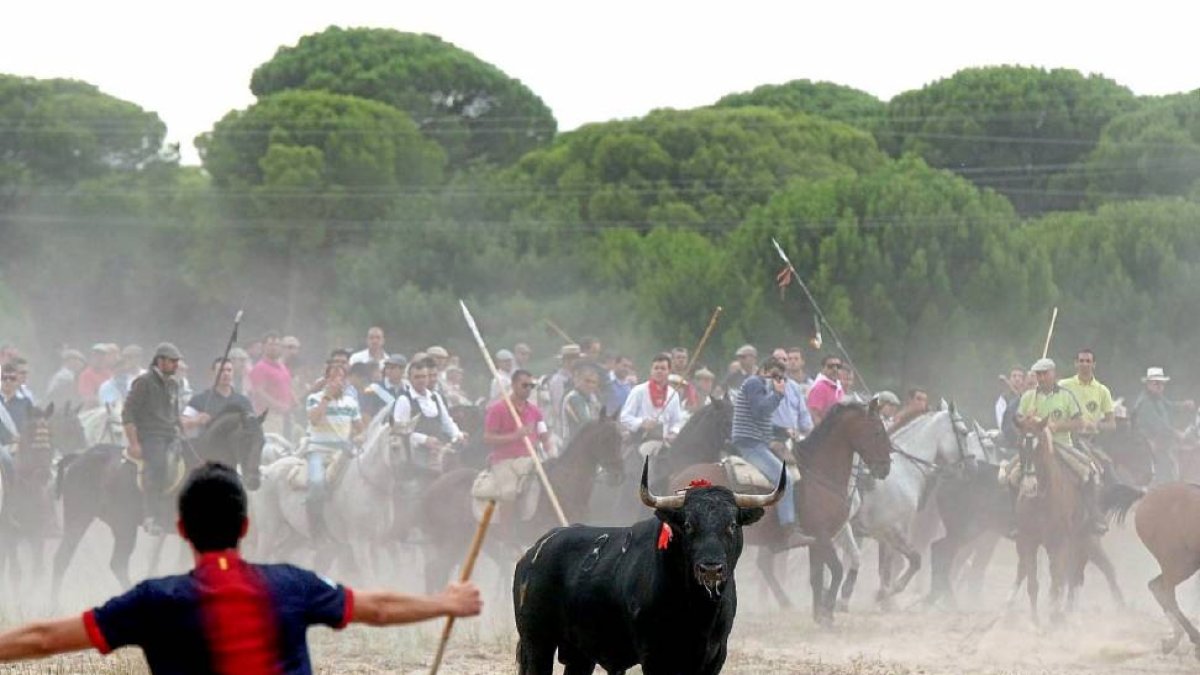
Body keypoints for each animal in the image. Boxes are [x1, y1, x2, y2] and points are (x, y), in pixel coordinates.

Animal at [51, 401, 265, 595]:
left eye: (262, 441)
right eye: (246, 438)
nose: (254, 481)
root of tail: (79, 458)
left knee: (65, 560)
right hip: (100, 521)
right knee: (110, 563)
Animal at [420, 408, 624, 590]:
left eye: (621, 438)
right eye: (605, 438)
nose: (617, 475)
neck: (565, 484)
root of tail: (432, 488)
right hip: (452, 540)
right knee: (434, 571)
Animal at [508, 454, 782, 667]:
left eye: (733, 524)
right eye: (688, 525)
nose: (711, 569)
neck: (698, 609)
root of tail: (533, 552)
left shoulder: (714, 657)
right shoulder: (655, 656)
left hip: (579, 655)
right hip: (537, 643)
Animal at [672, 396, 897, 624]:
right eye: (877, 431)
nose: (885, 467)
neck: (818, 474)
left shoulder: (816, 542)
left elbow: (817, 576)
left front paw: (820, 615)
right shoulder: (822, 536)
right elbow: (836, 569)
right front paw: (827, 612)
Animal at [840, 401, 988, 600]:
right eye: (963, 432)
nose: (973, 467)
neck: (903, 470)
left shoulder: (883, 535)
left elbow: (886, 569)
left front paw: (884, 594)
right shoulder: (892, 529)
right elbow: (914, 560)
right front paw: (892, 590)